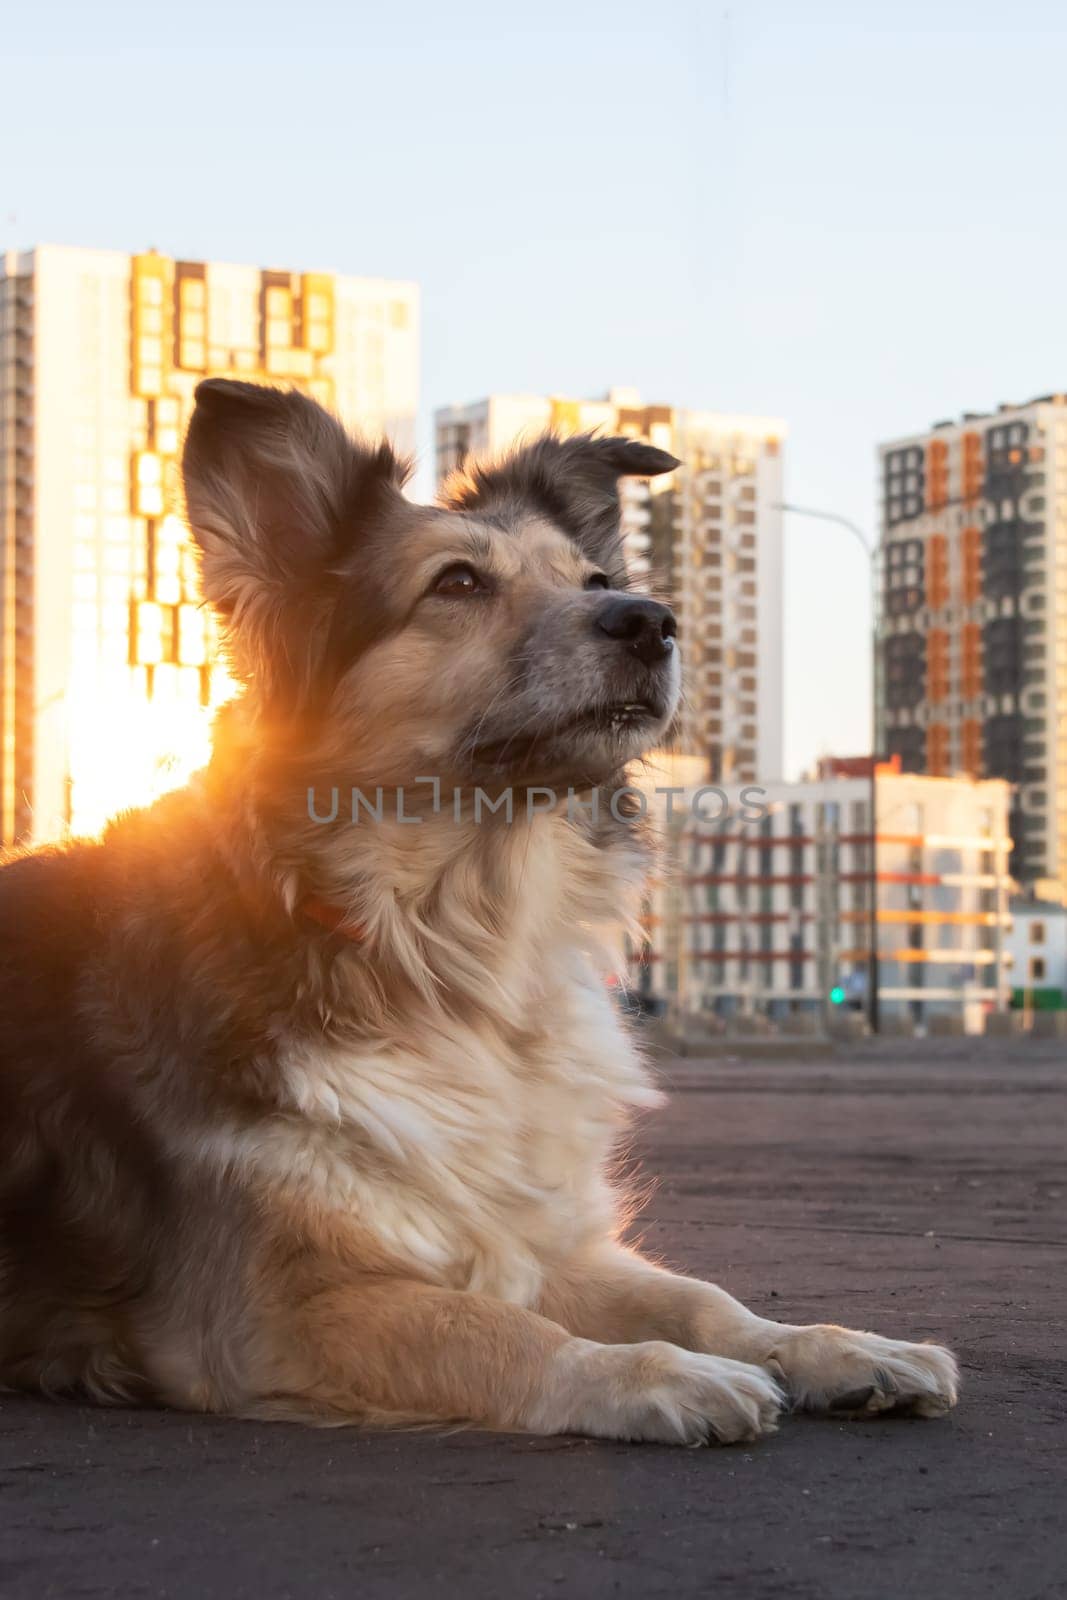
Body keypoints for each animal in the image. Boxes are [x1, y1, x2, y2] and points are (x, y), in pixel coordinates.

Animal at [0, 380, 953, 1446]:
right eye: (456, 583)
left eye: (593, 578)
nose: (652, 620)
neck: (451, 951)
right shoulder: (268, 1311)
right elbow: (500, 1332)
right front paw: (657, 1375)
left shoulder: (528, 1226)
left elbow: (702, 1299)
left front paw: (840, 1348)